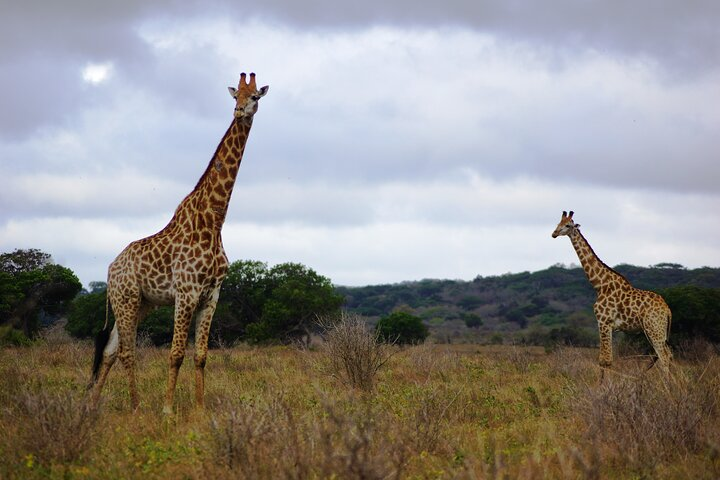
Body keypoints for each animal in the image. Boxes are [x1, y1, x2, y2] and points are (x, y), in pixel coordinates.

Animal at [90, 73, 269, 413]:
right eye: (235, 96)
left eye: (255, 97)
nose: (240, 112)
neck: (214, 221)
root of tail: (110, 268)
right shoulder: (187, 293)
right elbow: (176, 354)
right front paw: (168, 410)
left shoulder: (211, 295)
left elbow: (200, 356)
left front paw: (199, 409)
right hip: (126, 299)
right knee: (126, 352)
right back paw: (136, 406)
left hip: (139, 303)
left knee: (109, 350)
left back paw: (90, 405)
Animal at [551, 211, 672, 375]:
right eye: (558, 223)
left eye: (568, 225)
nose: (554, 233)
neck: (600, 284)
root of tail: (667, 310)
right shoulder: (608, 326)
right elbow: (603, 360)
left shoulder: (603, 322)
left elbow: (606, 361)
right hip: (659, 331)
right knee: (668, 355)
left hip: (654, 329)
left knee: (664, 357)